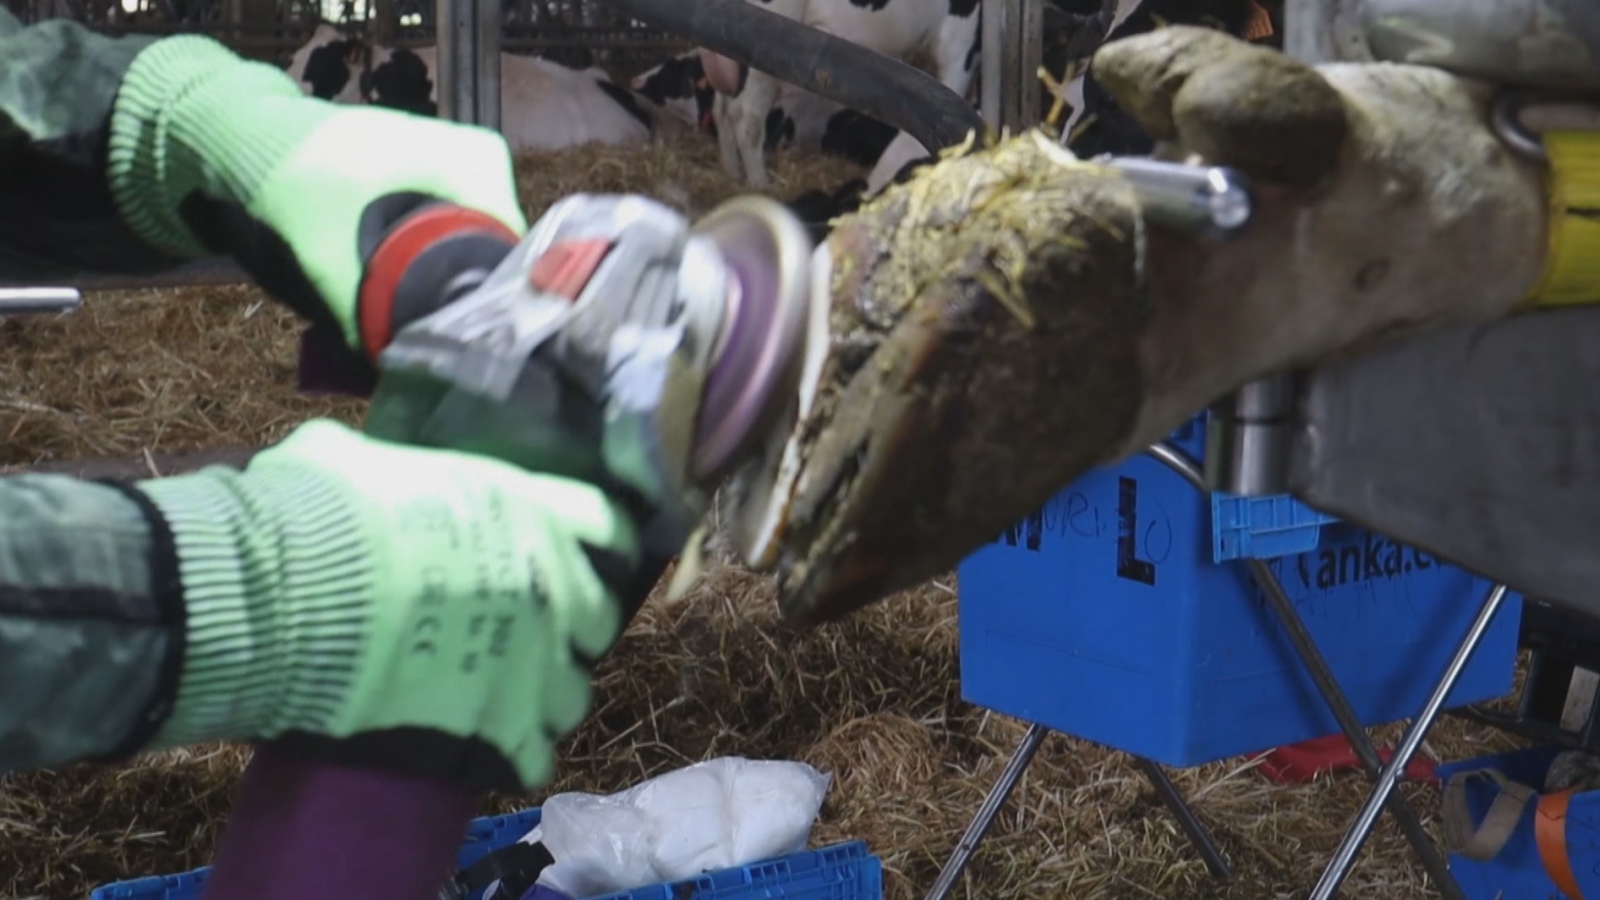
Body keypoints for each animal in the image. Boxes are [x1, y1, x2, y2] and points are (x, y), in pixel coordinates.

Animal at [693, 0, 982, 188]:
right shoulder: (961, 36)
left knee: (721, 108)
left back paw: (732, 172)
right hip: (760, 41)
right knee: (746, 117)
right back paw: (760, 184)